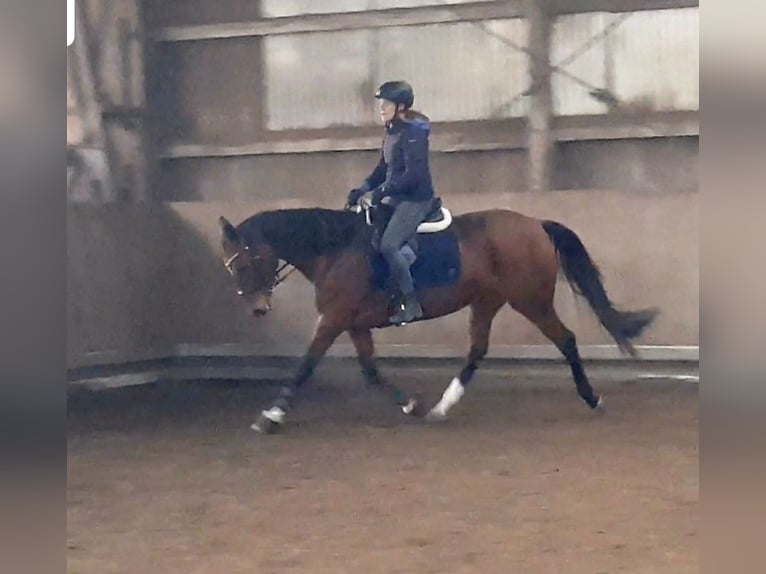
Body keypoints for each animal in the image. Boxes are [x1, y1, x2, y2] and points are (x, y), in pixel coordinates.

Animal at [219, 205, 656, 434]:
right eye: (230, 266)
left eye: (244, 262)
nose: (258, 309)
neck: (335, 248)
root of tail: (535, 224)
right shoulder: (354, 323)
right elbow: (370, 371)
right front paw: (411, 404)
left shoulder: (334, 318)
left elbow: (306, 365)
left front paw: (271, 415)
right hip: (488, 301)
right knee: (478, 350)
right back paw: (442, 407)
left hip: (530, 300)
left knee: (565, 340)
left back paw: (593, 398)